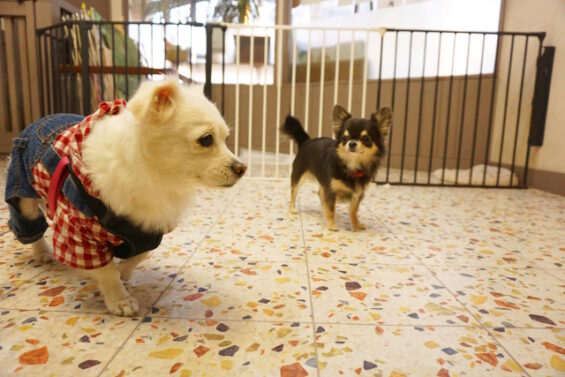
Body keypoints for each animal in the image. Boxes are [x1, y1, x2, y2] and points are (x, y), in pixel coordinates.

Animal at [5, 77, 245, 314]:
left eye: (226, 139)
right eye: (206, 139)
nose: (242, 168)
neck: (157, 177)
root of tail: (41, 120)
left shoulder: (148, 229)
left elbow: (137, 256)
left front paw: (124, 273)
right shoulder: (77, 231)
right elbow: (105, 269)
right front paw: (120, 300)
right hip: (22, 193)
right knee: (28, 223)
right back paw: (42, 252)